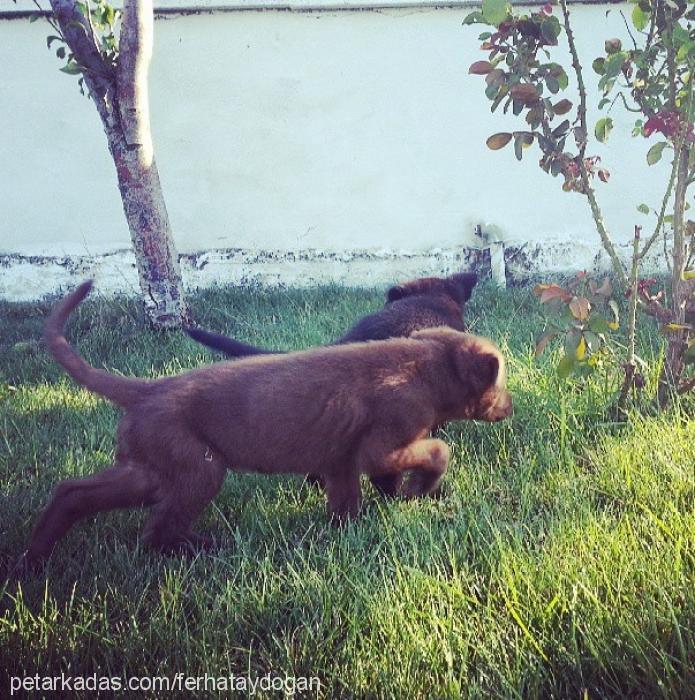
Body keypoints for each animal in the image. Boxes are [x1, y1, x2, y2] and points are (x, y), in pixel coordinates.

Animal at [23, 280, 512, 568]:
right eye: (500, 383)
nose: (510, 407)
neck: (425, 366)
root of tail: (147, 390)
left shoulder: (340, 461)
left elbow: (347, 502)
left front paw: (351, 530)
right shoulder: (384, 445)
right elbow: (438, 451)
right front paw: (417, 490)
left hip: (151, 469)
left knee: (72, 493)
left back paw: (32, 561)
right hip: (198, 472)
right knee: (157, 531)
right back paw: (204, 549)